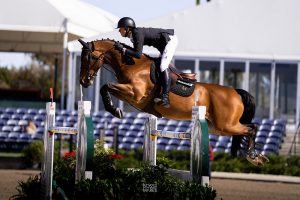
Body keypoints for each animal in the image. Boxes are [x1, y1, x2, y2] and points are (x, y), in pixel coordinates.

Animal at [78, 38, 270, 166]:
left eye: (89, 58)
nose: (83, 82)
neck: (132, 64)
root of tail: (236, 92)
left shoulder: (134, 93)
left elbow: (106, 86)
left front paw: (114, 110)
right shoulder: (133, 97)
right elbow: (108, 87)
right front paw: (115, 109)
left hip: (226, 125)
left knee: (251, 128)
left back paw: (254, 157)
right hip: (218, 127)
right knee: (248, 129)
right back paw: (256, 156)